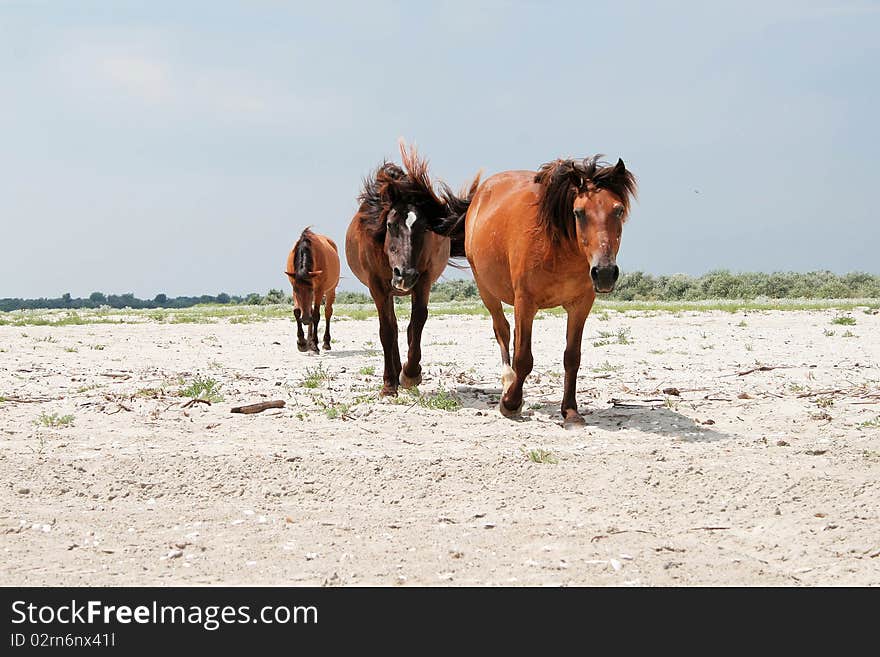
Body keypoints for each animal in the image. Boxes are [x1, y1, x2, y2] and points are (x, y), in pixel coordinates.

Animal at [346, 142, 482, 394]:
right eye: (390, 224)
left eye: (425, 228)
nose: (405, 275)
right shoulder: (377, 286)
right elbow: (386, 331)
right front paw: (389, 384)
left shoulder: (424, 280)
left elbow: (417, 321)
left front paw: (410, 374)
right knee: (391, 327)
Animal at [430, 157, 636, 428]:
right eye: (579, 213)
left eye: (618, 210)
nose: (604, 272)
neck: (558, 249)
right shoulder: (526, 303)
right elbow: (524, 358)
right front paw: (510, 403)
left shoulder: (580, 306)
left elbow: (572, 358)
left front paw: (570, 412)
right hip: (487, 291)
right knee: (503, 332)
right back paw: (508, 383)